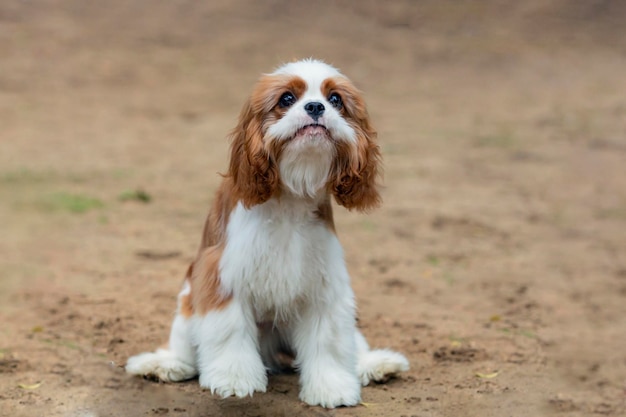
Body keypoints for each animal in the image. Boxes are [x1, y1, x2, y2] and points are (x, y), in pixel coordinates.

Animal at [127, 58, 410, 406]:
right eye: (287, 99)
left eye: (335, 100)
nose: (315, 107)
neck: (289, 197)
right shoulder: (222, 277)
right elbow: (230, 334)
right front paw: (234, 381)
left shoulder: (325, 287)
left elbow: (328, 340)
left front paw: (332, 388)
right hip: (186, 305)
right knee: (184, 348)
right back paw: (166, 364)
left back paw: (376, 364)